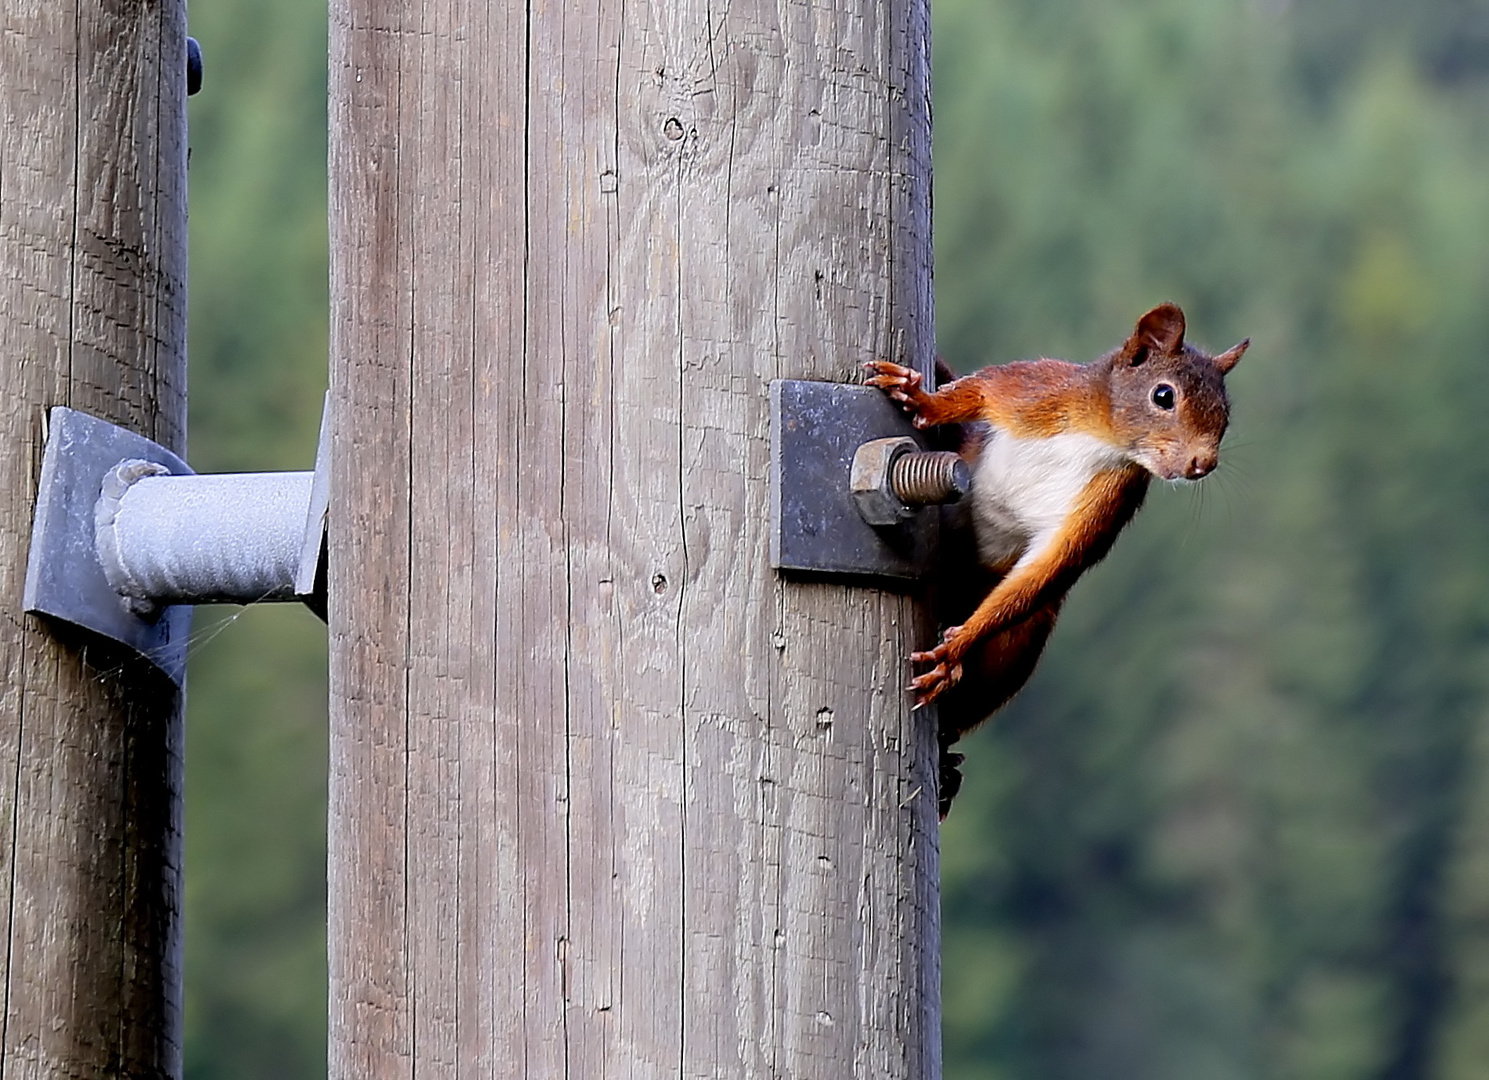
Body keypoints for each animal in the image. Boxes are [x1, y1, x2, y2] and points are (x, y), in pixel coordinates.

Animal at [863, 300, 1244, 810]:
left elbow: (1049, 568)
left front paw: (957, 648)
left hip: (1017, 644)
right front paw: (925, 402)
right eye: (1164, 396)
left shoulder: (1107, 501)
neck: (1100, 436)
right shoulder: (1035, 389)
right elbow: (978, 390)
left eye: (1226, 413)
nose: (1203, 464)